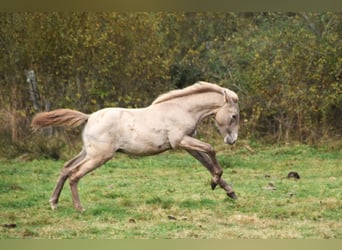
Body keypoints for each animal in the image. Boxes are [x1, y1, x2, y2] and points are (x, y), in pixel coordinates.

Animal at [32, 82, 240, 211]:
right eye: (234, 116)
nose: (232, 140)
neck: (181, 109)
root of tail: (89, 117)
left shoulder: (188, 145)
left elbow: (207, 163)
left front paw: (229, 191)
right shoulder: (180, 140)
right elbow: (211, 149)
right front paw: (215, 183)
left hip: (88, 152)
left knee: (66, 168)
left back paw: (54, 203)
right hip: (100, 156)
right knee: (74, 174)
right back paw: (79, 208)